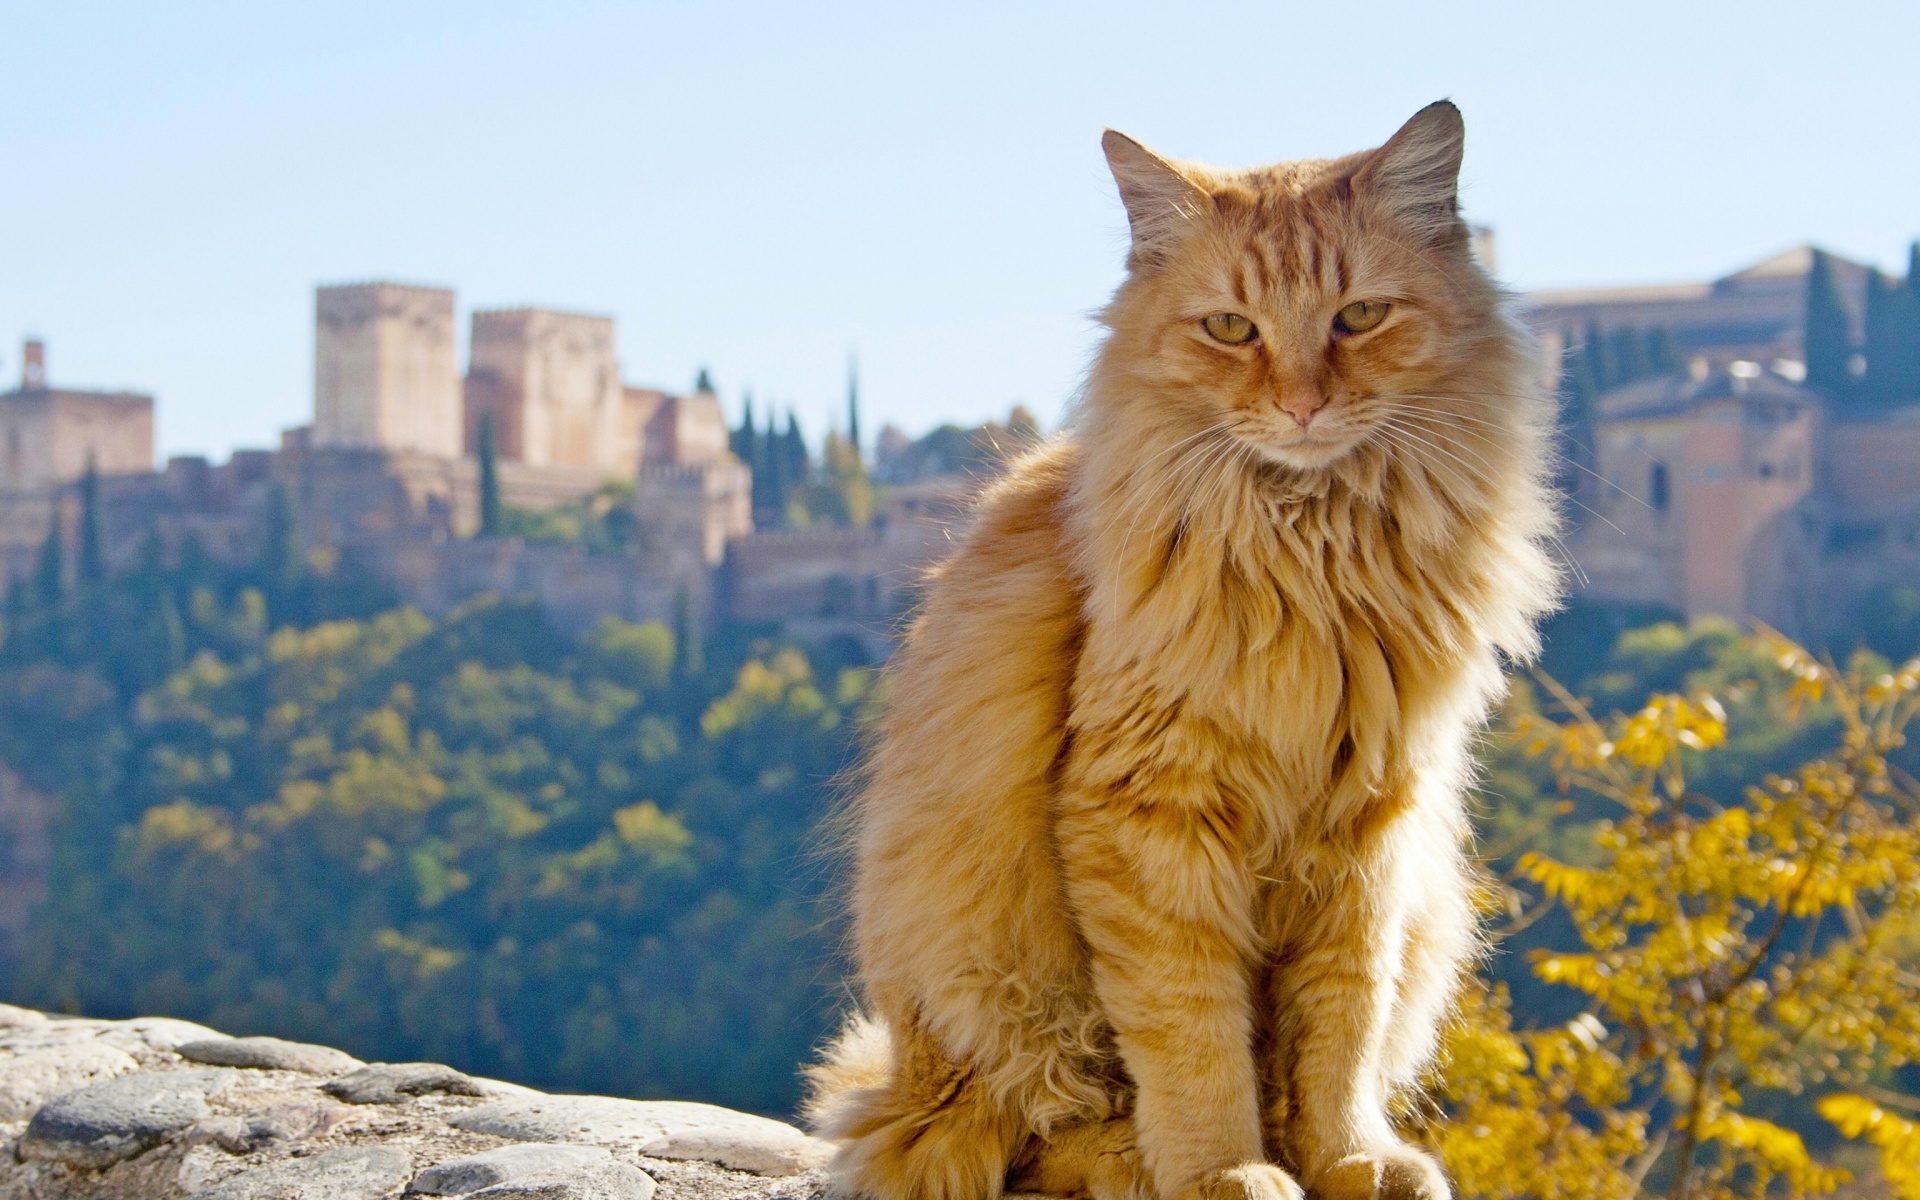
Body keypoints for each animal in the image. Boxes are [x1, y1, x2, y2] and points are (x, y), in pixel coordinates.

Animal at [806, 102, 1559, 1198]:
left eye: (1359, 317)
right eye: (1232, 329)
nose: (1302, 404)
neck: (1312, 549)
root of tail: (900, 1070)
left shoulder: (1370, 824)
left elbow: (1338, 1031)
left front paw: (1347, 1158)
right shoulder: (1149, 810)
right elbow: (1190, 1032)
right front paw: (1225, 1170)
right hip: (983, 983)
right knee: (1022, 1128)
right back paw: (1130, 1158)